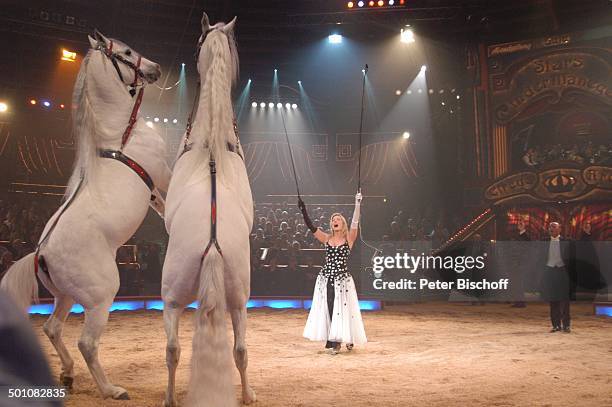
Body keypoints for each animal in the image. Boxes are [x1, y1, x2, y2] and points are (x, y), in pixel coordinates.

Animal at [1, 31, 172, 402]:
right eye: (126, 52)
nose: (156, 69)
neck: (120, 134)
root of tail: (41, 253)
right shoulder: (164, 171)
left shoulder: (154, 186)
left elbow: (161, 205)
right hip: (100, 296)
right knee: (87, 343)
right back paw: (112, 390)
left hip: (65, 295)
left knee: (52, 327)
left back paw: (67, 375)